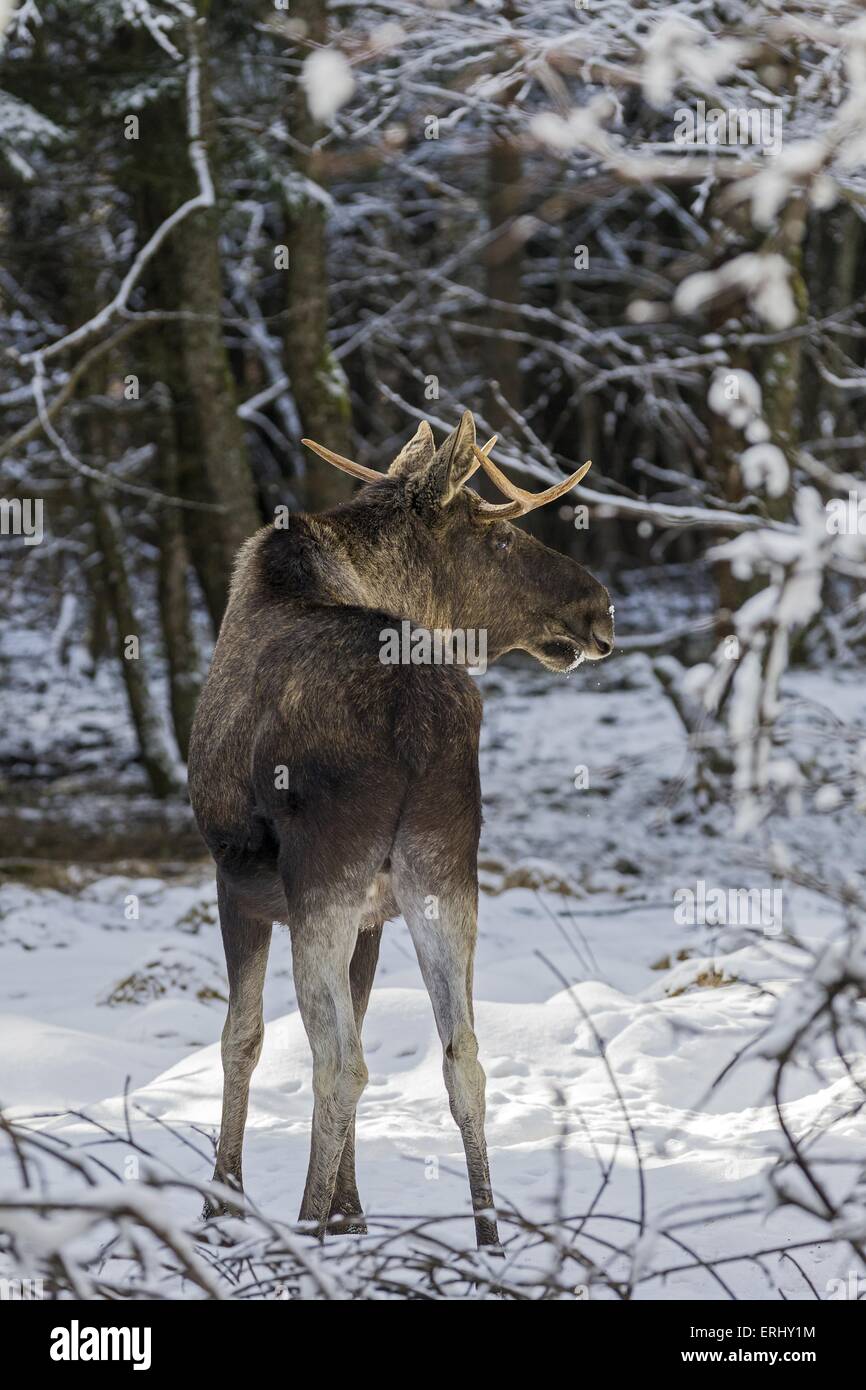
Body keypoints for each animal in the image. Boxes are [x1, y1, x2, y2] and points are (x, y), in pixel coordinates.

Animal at [187, 410, 614, 1249]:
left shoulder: (236, 881)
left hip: (323, 875)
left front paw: (223, 1207)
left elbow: (241, 1039)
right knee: (463, 1055)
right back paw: (487, 1240)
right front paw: (352, 1212)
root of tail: (420, 719)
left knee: (339, 1063)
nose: (601, 608)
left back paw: (304, 1233)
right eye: (501, 538)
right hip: (445, 868)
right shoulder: (376, 914)